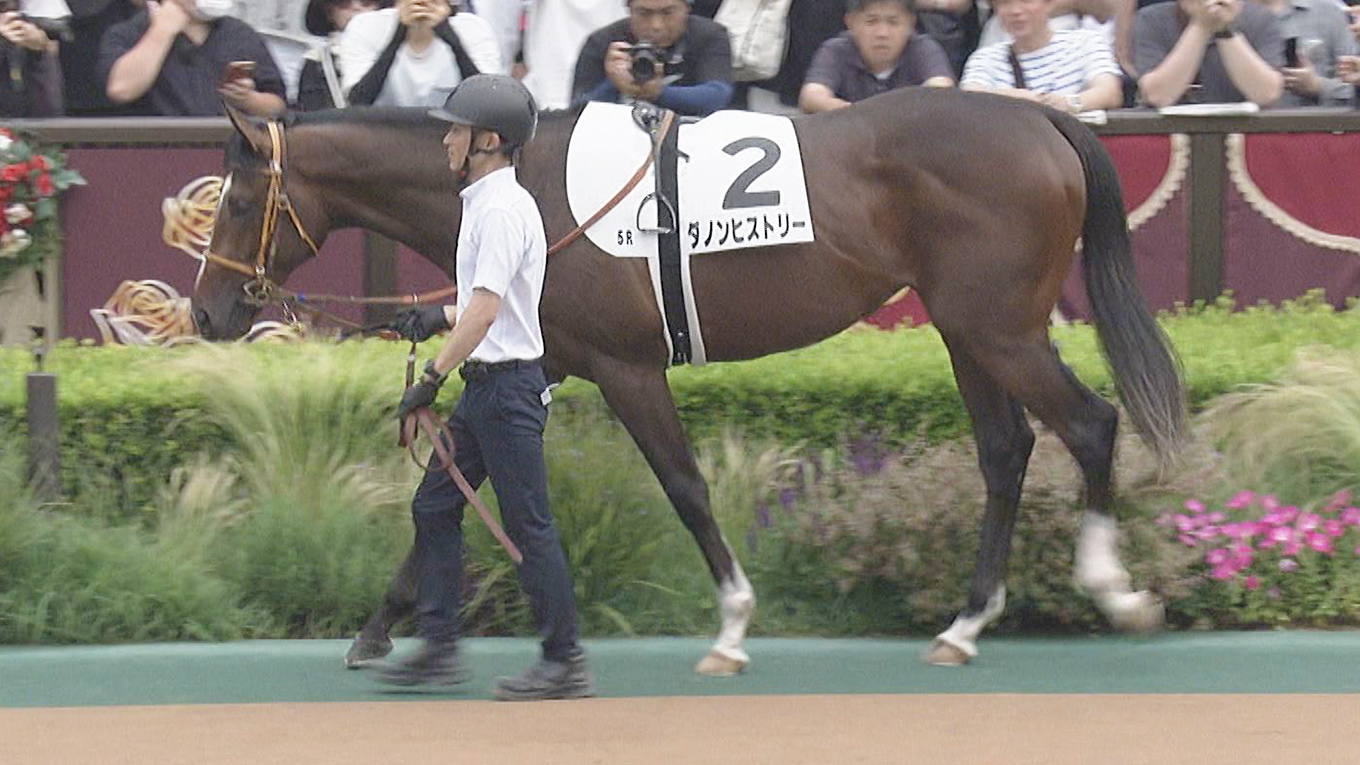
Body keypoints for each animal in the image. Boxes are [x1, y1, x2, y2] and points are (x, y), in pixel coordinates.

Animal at [193, 87, 1185, 673]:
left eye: (236, 202)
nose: (206, 313)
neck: (523, 182)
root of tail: (1042, 118)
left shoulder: (626, 367)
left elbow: (684, 484)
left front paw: (734, 623)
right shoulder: (542, 354)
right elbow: (449, 480)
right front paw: (379, 622)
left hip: (996, 326)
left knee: (1089, 425)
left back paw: (1112, 589)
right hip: (965, 328)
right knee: (1006, 448)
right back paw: (967, 621)